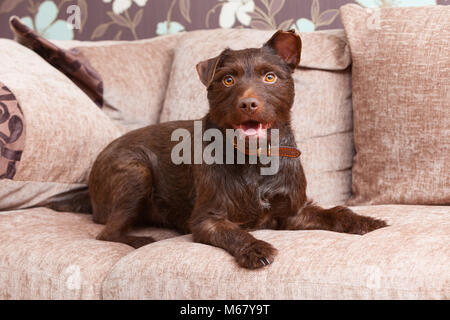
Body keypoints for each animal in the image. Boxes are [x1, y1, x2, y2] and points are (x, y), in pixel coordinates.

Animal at [44, 31, 386, 268]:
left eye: (270, 76)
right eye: (228, 79)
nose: (248, 103)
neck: (255, 160)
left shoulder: (293, 212)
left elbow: (335, 213)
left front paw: (364, 221)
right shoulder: (207, 219)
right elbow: (234, 232)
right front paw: (255, 248)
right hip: (135, 171)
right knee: (107, 233)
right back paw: (139, 239)